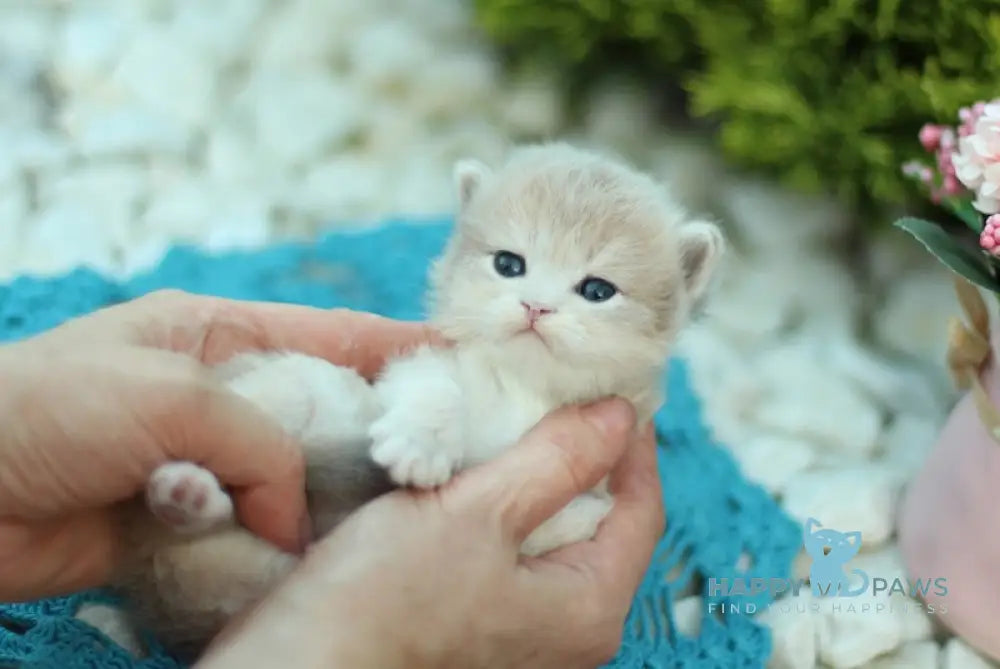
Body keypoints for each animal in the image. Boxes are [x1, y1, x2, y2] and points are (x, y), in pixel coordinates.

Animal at [84, 141, 728, 656]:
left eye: (597, 291)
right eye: (509, 264)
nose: (535, 307)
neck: (527, 386)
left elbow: (577, 517)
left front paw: (571, 514)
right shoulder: (418, 366)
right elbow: (432, 390)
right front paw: (421, 446)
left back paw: (185, 498)